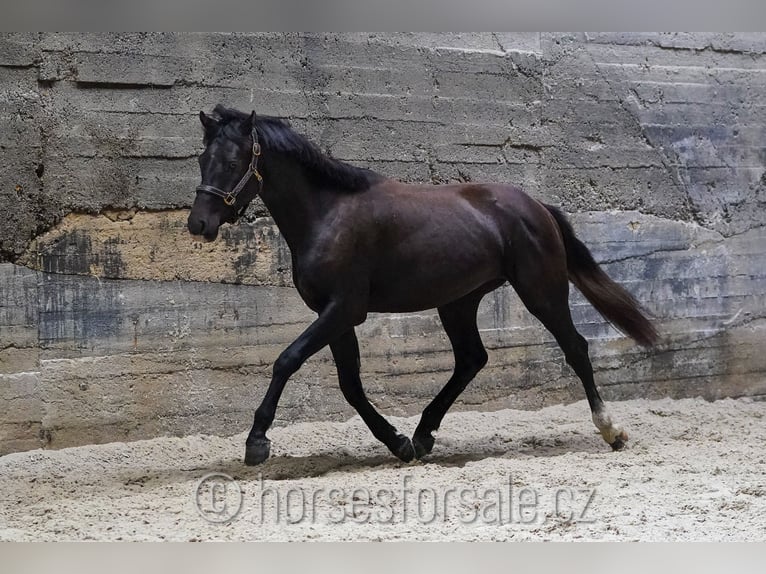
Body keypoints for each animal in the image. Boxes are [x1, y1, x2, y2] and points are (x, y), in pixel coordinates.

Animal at [188, 106, 660, 468]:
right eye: (201, 159)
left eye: (232, 162)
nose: (199, 224)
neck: (328, 215)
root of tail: (537, 207)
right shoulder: (336, 316)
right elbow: (350, 385)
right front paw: (399, 443)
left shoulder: (343, 308)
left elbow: (287, 360)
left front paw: (257, 442)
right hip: (458, 303)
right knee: (471, 359)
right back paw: (423, 434)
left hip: (541, 291)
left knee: (575, 348)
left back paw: (611, 430)